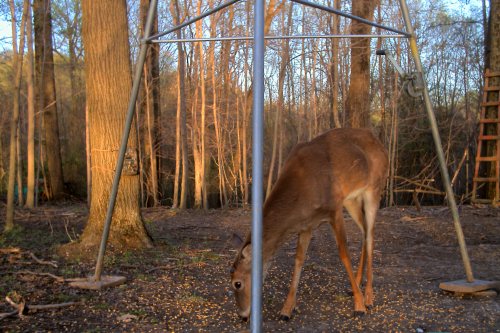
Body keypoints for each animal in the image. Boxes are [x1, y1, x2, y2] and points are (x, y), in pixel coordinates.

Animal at [230, 127, 390, 320]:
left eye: (237, 283)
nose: (242, 315)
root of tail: (381, 144)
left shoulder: (334, 208)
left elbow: (343, 253)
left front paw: (359, 307)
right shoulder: (307, 224)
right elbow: (299, 260)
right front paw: (286, 310)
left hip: (374, 189)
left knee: (371, 235)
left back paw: (367, 297)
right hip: (352, 200)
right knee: (365, 231)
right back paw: (355, 288)